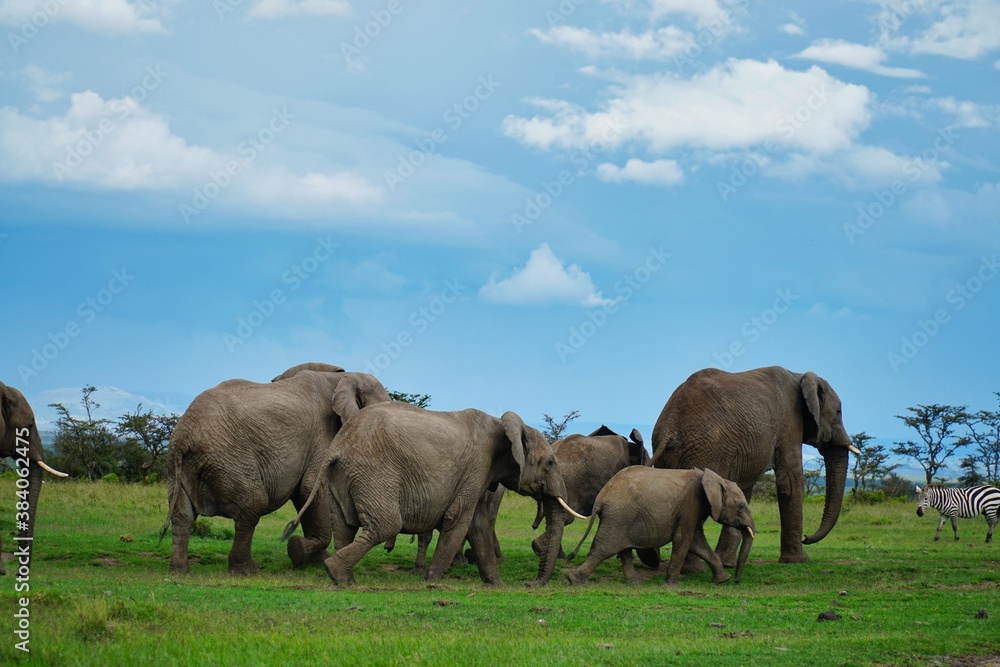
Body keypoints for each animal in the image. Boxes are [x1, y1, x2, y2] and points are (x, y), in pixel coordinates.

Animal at [161, 363, 390, 575]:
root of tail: (183, 435)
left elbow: (303, 495)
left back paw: (180, 572)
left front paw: (312, 559)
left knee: (182, 516)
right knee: (252, 506)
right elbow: (312, 488)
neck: (343, 377)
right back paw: (247, 571)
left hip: (178, 464)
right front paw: (299, 550)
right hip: (226, 457)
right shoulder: (322, 435)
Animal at [282, 403, 585, 586]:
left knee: (345, 525)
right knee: (385, 525)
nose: (530, 583)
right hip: (373, 473)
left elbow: (477, 525)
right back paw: (335, 571)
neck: (503, 424)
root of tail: (337, 447)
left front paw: (495, 585)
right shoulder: (476, 466)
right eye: (550, 463)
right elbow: (459, 521)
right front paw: (432, 580)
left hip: (340, 477)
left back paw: (345, 579)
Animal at [566, 467, 755, 586]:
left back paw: (635, 583)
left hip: (622, 518)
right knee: (606, 549)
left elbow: (697, 543)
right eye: (741, 506)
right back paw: (574, 580)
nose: (737, 581)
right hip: (619, 516)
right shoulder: (690, 505)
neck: (711, 477)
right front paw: (671, 585)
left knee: (623, 549)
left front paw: (723, 580)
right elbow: (684, 539)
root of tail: (602, 495)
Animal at [648, 366, 859, 567]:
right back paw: (693, 570)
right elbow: (789, 483)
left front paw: (727, 562)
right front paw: (799, 561)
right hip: (704, 451)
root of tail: (669, 429)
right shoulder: (790, 422)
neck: (799, 375)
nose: (807, 537)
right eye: (839, 412)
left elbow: (743, 488)